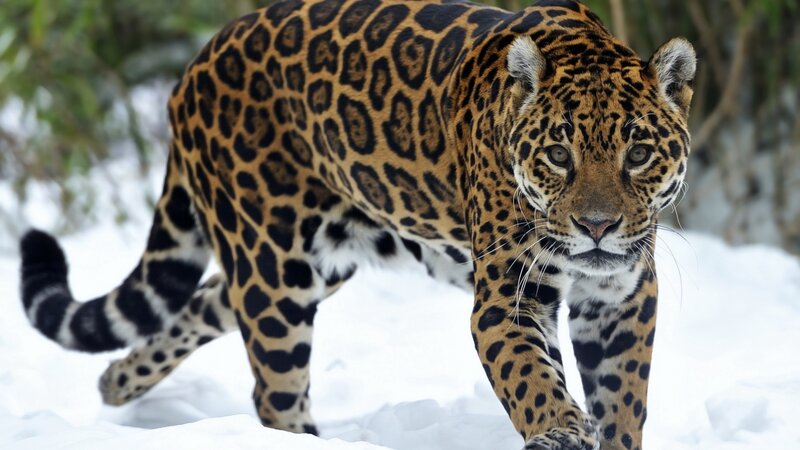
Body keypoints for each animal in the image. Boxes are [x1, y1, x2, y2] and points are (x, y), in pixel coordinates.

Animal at [18, 0, 696, 449]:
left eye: (638, 153)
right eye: (558, 154)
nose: (598, 227)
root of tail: (196, 63)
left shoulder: (622, 298)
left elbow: (623, 400)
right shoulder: (510, 297)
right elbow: (532, 377)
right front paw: (560, 429)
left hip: (312, 262)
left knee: (200, 302)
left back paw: (116, 383)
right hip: (274, 269)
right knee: (276, 392)